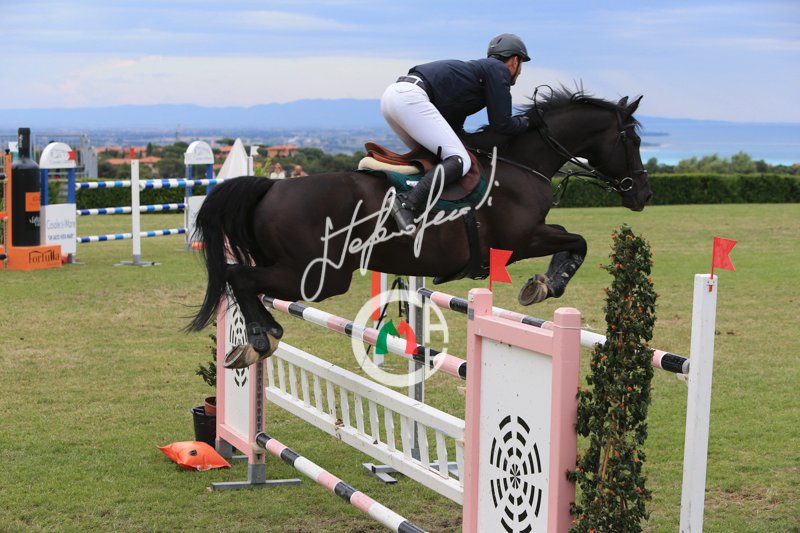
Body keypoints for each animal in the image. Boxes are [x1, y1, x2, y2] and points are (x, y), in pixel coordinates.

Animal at [188, 87, 652, 369]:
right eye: (631, 139)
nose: (642, 192)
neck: (521, 162)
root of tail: (271, 187)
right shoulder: (521, 239)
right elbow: (579, 241)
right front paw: (545, 284)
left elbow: (575, 240)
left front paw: (543, 282)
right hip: (318, 276)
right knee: (238, 276)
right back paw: (261, 338)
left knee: (243, 280)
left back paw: (259, 336)